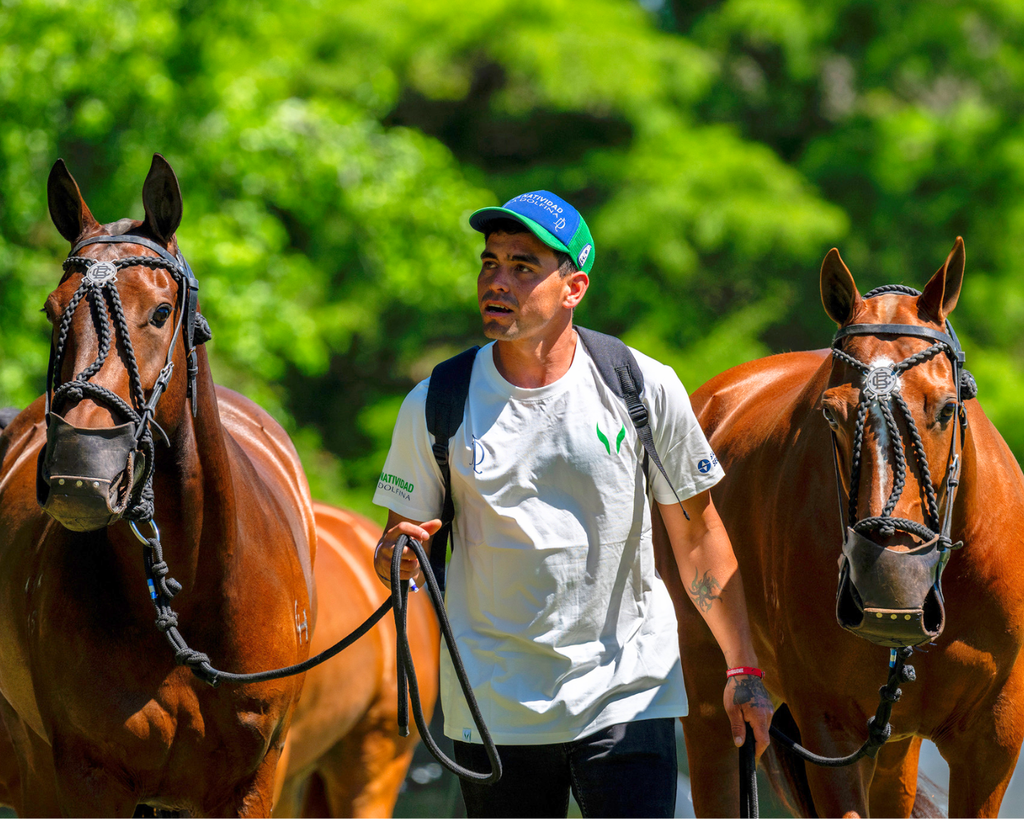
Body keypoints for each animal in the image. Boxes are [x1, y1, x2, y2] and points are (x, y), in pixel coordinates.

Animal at [664, 238, 1024, 817]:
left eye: (947, 408)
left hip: (895, 745)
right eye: (831, 415)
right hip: (712, 706)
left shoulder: (992, 740)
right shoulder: (829, 728)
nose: (887, 585)